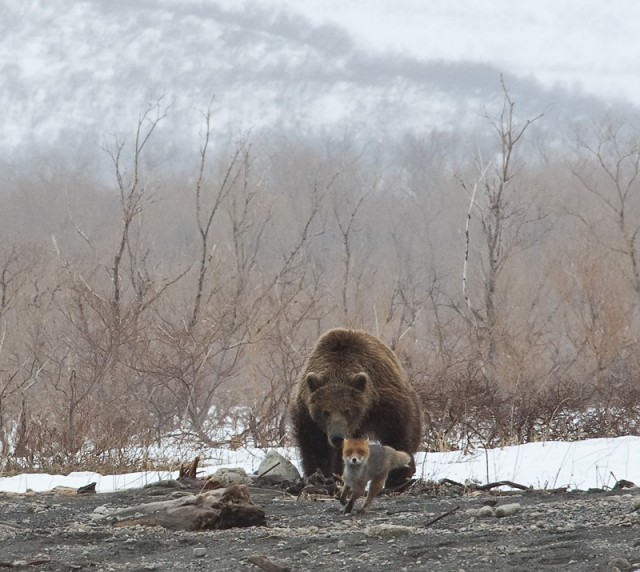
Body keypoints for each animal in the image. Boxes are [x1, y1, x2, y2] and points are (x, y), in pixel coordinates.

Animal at [288, 326, 420, 482]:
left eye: (347, 410)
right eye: (325, 412)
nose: (337, 437)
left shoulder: (386, 402)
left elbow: (397, 432)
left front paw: (399, 475)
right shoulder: (307, 414)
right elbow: (315, 446)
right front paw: (319, 474)